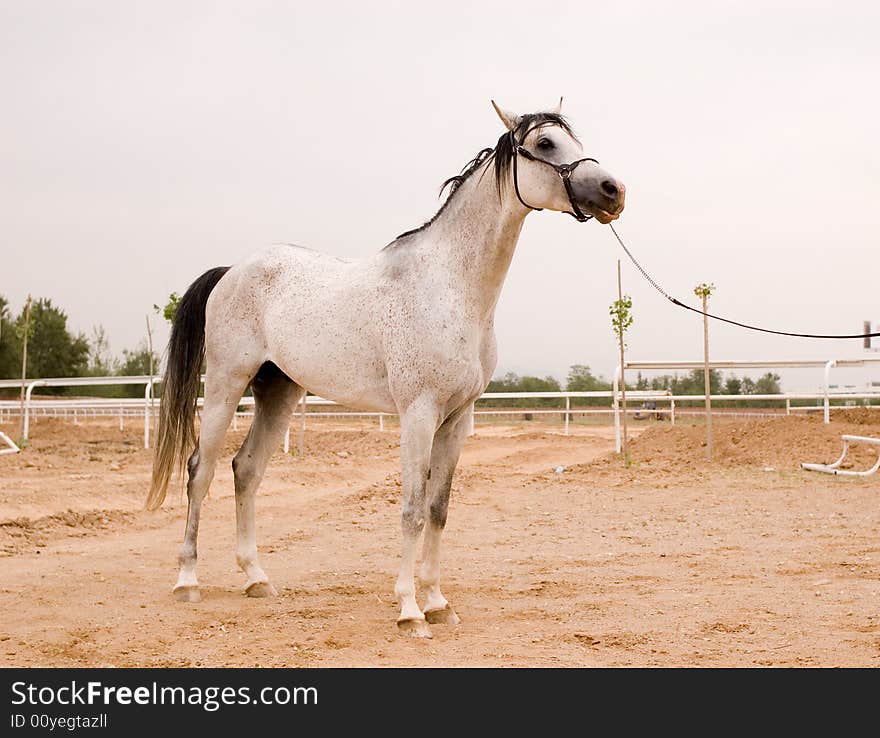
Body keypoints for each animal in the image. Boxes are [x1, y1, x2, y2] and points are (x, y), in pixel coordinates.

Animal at [146, 99, 624, 632]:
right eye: (545, 143)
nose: (613, 191)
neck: (450, 287)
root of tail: (232, 270)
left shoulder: (458, 419)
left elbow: (438, 508)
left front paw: (438, 602)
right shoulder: (418, 414)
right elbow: (412, 509)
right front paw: (410, 610)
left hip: (278, 391)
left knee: (245, 469)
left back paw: (256, 578)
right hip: (227, 383)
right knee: (200, 469)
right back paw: (187, 581)